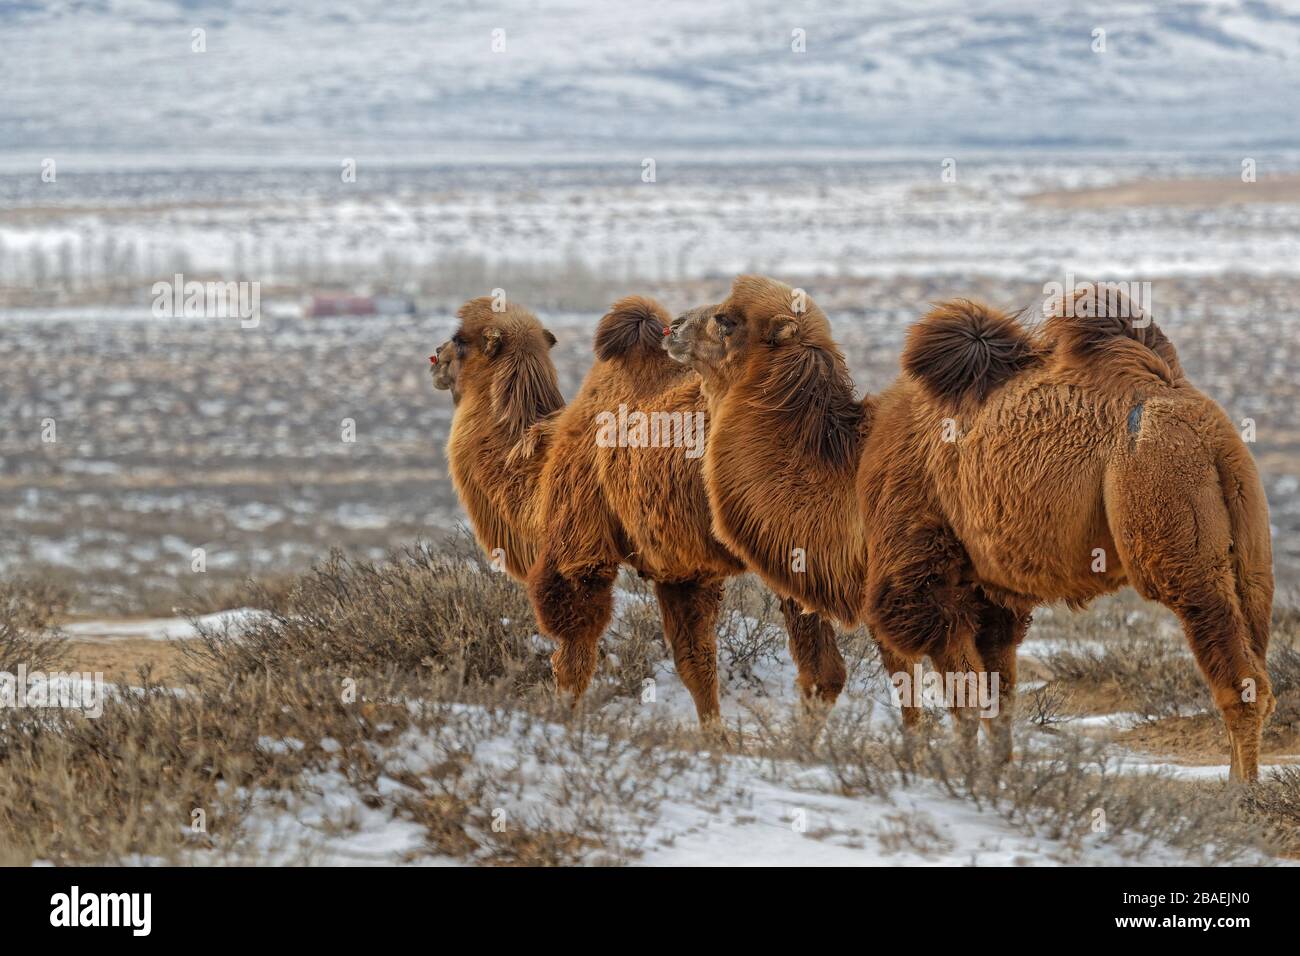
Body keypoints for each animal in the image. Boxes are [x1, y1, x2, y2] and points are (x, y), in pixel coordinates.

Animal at [431, 293, 847, 723]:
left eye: (460, 340)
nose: (436, 357)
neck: (537, 473)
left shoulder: (578, 553)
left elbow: (573, 661)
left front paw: (563, 722)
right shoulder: (684, 571)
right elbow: (696, 663)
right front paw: (716, 735)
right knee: (824, 668)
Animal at [665, 274, 1274, 780]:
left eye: (726, 319)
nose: (672, 327)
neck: (851, 466)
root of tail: (1202, 423)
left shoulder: (921, 580)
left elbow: (960, 698)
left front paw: (961, 775)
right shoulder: (983, 594)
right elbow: (987, 698)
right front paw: (986, 773)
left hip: (1169, 523)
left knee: (1238, 680)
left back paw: (1240, 798)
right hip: (1249, 551)